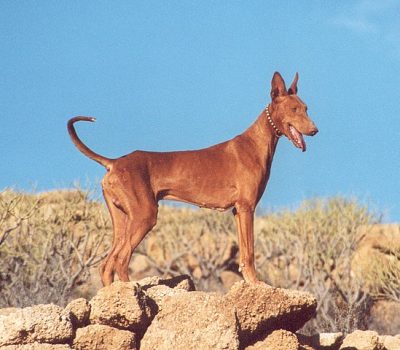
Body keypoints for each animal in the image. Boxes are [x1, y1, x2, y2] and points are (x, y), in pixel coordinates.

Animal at [69, 72, 318, 286]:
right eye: (294, 109)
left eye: (306, 108)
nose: (315, 130)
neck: (256, 143)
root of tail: (114, 162)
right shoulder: (247, 208)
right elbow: (250, 252)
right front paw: (256, 283)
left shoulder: (238, 211)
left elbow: (244, 254)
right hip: (144, 216)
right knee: (121, 259)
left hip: (122, 219)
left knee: (106, 265)